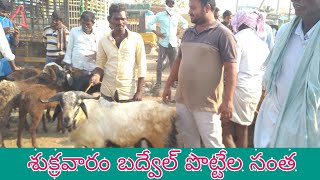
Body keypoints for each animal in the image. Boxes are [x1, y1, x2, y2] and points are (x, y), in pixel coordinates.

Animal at [42, 91, 178, 148]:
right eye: (61, 103)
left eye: (78, 103)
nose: (67, 120)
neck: (83, 118)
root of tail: (169, 111)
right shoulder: (79, 144)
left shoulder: (98, 143)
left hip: (161, 140)